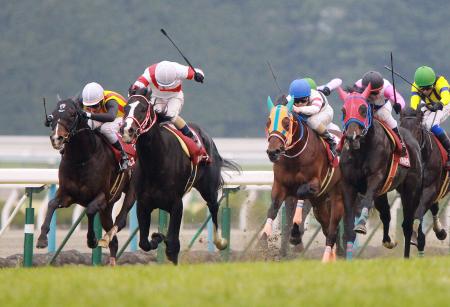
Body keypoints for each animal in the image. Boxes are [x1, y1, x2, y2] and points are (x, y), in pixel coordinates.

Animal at [36, 99, 135, 268]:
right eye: (52, 115)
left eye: (72, 114)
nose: (57, 139)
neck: (82, 159)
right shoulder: (67, 195)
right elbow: (51, 204)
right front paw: (42, 238)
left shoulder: (101, 196)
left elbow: (89, 211)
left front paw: (92, 240)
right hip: (107, 208)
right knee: (113, 240)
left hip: (131, 191)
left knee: (121, 219)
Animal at [119, 88, 239, 264]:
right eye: (126, 108)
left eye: (142, 108)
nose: (127, 130)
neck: (156, 163)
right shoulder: (143, 203)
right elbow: (144, 243)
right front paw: (157, 236)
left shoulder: (176, 204)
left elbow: (173, 244)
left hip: (208, 188)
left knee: (213, 207)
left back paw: (220, 241)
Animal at [266, 96, 342, 262]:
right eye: (268, 122)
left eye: (286, 123)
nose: (273, 152)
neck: (295, 157)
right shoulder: (280, 185)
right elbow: (273, 208)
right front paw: (263, 239)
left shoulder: (314, 184)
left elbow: (300, 195)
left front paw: (295, 236)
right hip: (320, 202)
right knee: (326, 226)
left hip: (337, 197)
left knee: (334, 226)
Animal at [338, 86, 422, 260]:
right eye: (343, 110)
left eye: (363, 110)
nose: (351, 136)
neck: (361, 150)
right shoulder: (347, 185)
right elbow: (349, 227)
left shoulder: (375, 178)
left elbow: (366, 200)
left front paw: (361, 224)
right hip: (382, 193)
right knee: (386, 215)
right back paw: (388, 241)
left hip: (410, 190)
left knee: (407, 225)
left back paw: (406, 257)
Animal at [400, 104, 446, 254]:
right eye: (401, 128)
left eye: (417, 128)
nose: (407, 147)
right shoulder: (408, 192)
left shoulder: (430, 188)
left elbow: (417, 215)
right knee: (435, 208)